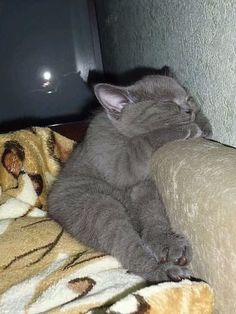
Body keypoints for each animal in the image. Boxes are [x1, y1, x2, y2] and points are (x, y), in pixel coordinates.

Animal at [47, 75, 208, 284]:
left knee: (152, 218)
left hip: (143, 191)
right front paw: (188, 129)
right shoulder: (111, 154)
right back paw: (166, 271)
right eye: (167, 103)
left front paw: (204, 124)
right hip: (98, 206)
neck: (120, 131)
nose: (189, 110)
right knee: (127, 248)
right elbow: (145, 140)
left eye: (188, 98)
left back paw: (169, 245)